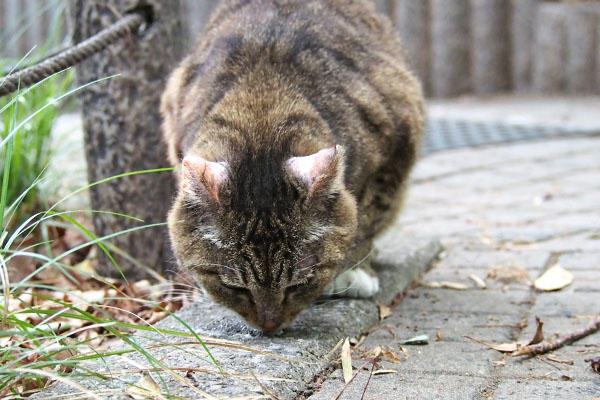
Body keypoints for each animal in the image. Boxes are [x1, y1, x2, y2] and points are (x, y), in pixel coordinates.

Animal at [159, 0, 422, 332]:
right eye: (235, 288)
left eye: (299, 284)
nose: (269, 326)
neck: (262, 102)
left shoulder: (395, 151)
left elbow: (366, 217)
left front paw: (353, 271)